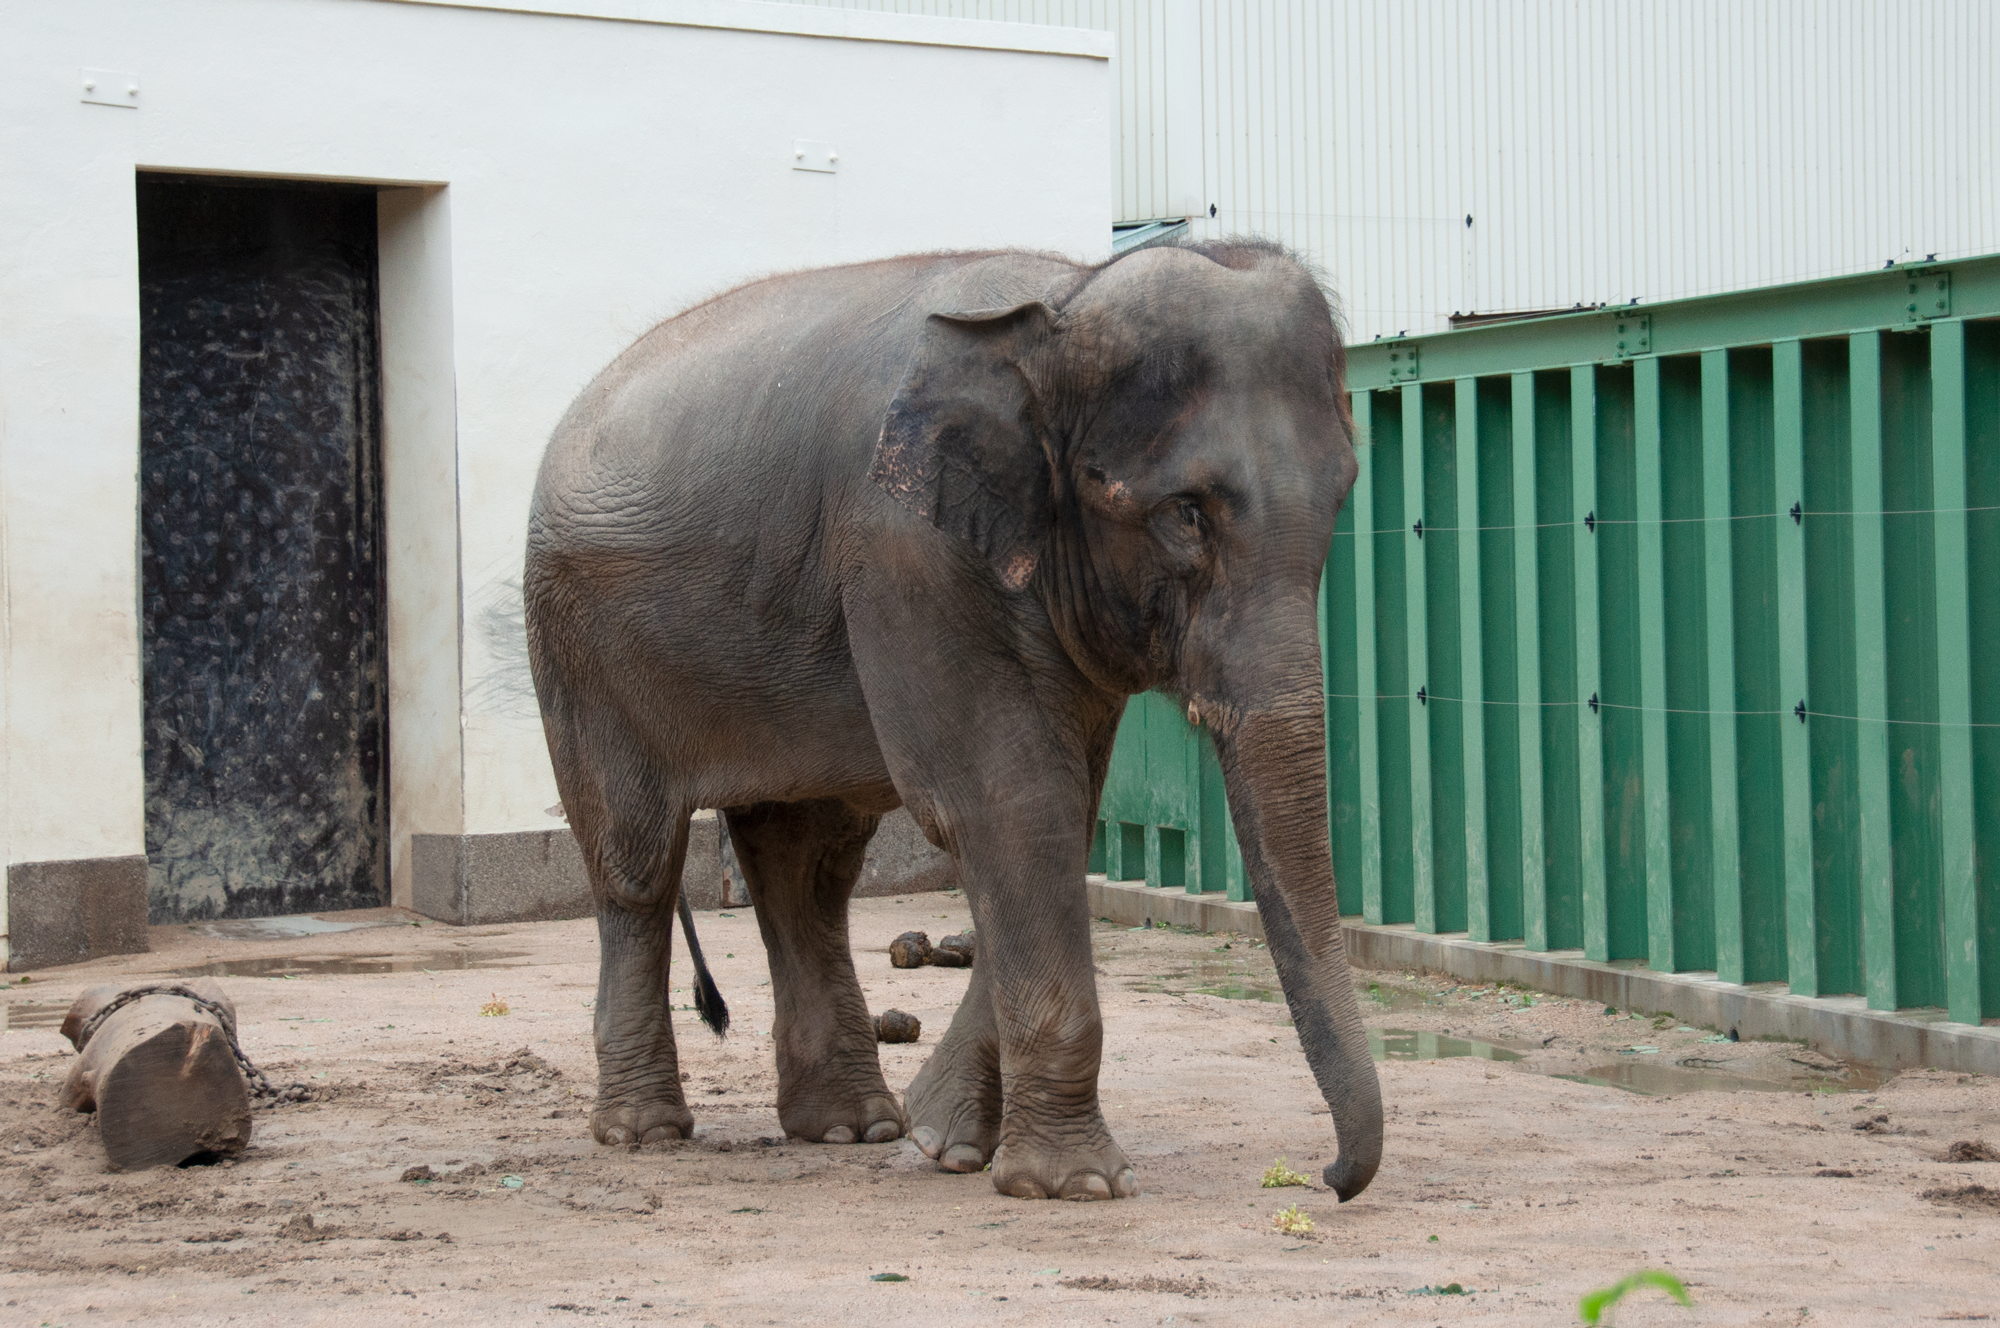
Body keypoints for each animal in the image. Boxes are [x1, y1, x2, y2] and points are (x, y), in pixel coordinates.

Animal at [524, 239, 1384, 1200]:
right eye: (1186, 513)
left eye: (1342, 498)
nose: (1328, 1175)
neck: (1064, 301)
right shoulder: (909, 551)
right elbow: (1006, 803)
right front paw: (1074, 1186)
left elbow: (1058, 811)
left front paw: (946, 1141)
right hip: (578, 643)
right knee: (635, 860)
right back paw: (646, 1134)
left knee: (807, 863)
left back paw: (852, 1127)